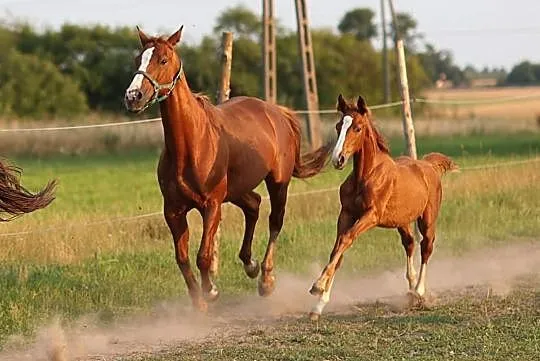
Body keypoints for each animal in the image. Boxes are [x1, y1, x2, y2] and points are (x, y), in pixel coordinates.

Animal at [124, 27, 332, 310]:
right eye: (138, 59)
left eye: (163, 60)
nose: (133, 97)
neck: (192, 145)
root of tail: (277, 112)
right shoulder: (174, 211)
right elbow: (182, 258)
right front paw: (198, 302)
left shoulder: (211, 205)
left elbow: (203, 255)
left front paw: (210, 291)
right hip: (237, 189)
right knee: (254, 205)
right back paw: (250, 265)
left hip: (278, 182)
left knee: (275, 220)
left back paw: (266, 280)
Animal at [310, 95, 458, 318]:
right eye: (338, 126)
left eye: (357, 128)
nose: (338, 159)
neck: (366, 176)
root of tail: (429, 165)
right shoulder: (346, 214)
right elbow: (338, 251)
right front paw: (319, 305)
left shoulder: (371, 216)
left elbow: (346, 240)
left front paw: (317, 286)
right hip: (402, 221)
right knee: (410, 243)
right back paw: (411, 290)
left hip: (428, 219)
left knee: (426, 246)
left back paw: (419, 291)